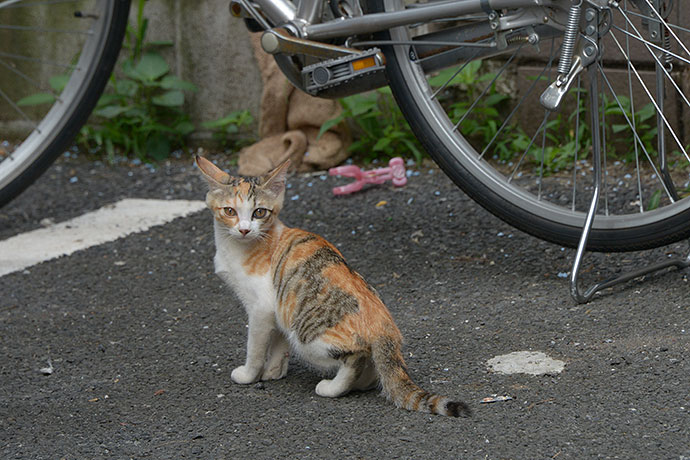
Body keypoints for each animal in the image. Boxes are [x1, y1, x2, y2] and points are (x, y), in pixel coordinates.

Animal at [196, 155, 470, 416]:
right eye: (229, 211)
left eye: (259, 213)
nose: (244, 230)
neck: (240, 246)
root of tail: (385, 327)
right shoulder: (280, 306)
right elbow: (279, 343)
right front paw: (274, 370)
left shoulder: (260, 308)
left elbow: (255, 347)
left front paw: (248, 374)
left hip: (307, 337)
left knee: (356, 356)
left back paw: (333, 387)